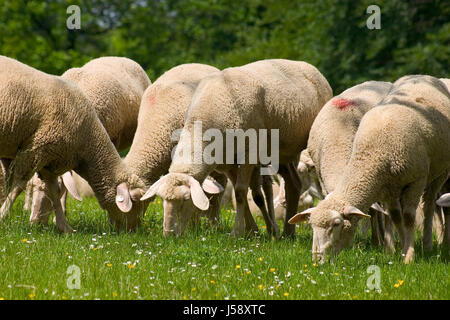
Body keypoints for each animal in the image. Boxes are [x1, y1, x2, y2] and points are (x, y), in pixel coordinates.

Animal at [0, 56, 146, 232]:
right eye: (136, 202)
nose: (134, 230)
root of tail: (118, 57)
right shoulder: (38, 151)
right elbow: (20, 186)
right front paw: (3, 214)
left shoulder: (48, 157)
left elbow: (53, 189)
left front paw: (63, 225)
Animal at [142, 58, 332, 238]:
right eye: (162, 200)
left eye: (186, 199)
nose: (169, 234)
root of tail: (308, 66)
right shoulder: (227, 162)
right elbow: (241, 192)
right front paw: (252, 231)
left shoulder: (250, 153)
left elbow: (240, 191)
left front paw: (237, 232)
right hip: (281, 152)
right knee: (293, 183)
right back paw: (288, 233)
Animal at [288, 76, 450, 264]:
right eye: (311, 224)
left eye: (336, 224)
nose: (318, 260)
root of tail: (422, 76)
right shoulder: (387, 187)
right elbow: (396, 216)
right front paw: (402, 248)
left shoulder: (416, 180)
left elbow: (408, 217)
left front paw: (408, 257)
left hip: (440, 172)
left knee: (429, 205)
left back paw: (429, 244)